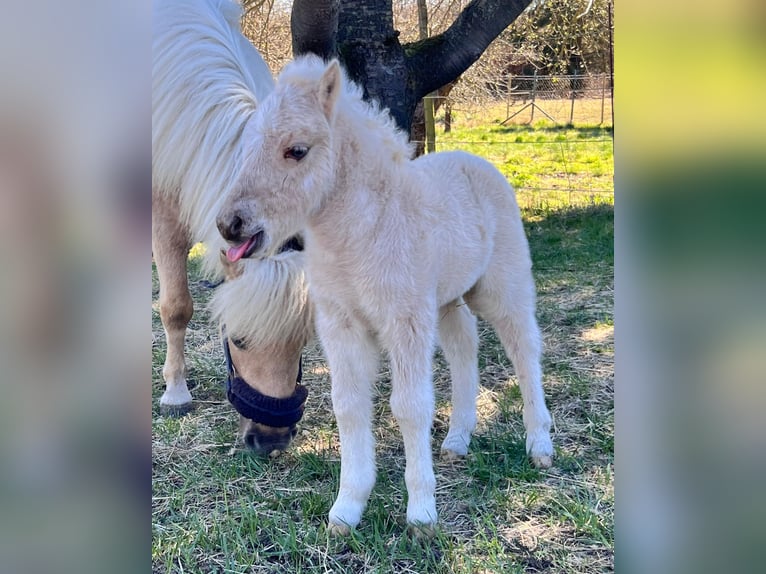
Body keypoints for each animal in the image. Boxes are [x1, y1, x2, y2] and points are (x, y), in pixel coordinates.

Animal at [152, 0, 313, 455]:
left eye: (302, 344)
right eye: (237, 340)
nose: (270, 441)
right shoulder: (162, 217)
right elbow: (176, 307)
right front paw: (175, 392)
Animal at [216, 55, 555, 535]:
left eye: (296, 150)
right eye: (246, 149)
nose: (230, 225)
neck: (361, 235)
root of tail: (476, 161)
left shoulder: (403, 321)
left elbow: (410, 406)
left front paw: (422, 514)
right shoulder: (341, 325)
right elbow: (349, 405)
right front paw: (347, 509)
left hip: (501, 288)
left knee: (525, 351)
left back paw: (539, 445)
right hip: (446, 301)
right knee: (463, 350)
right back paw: (457, 440)